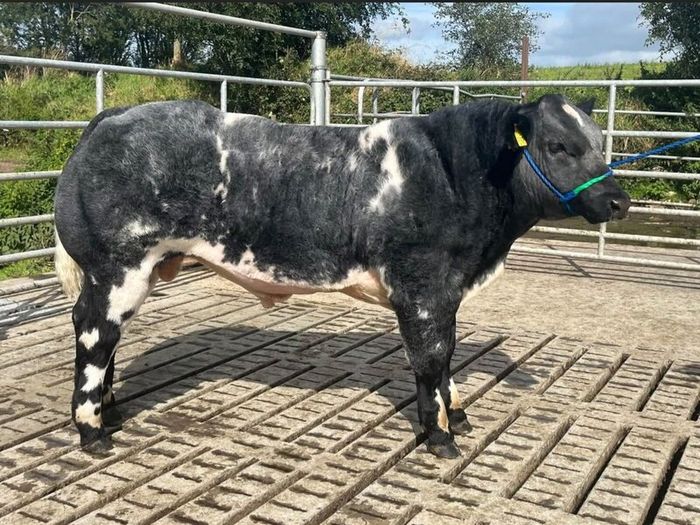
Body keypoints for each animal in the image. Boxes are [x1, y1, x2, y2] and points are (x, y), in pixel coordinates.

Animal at [54, 94, 630, 458]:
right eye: (559, 146)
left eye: (599, 141)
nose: (619, 201)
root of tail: (116, 116)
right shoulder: (420, 285)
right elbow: (430, 359)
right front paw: (440, 436)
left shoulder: (445, 292)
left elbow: (447, 356)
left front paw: (458, 415)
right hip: (117, 265)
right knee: (94, 333)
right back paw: (93, 431)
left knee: (106, 338)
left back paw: (111, 412)